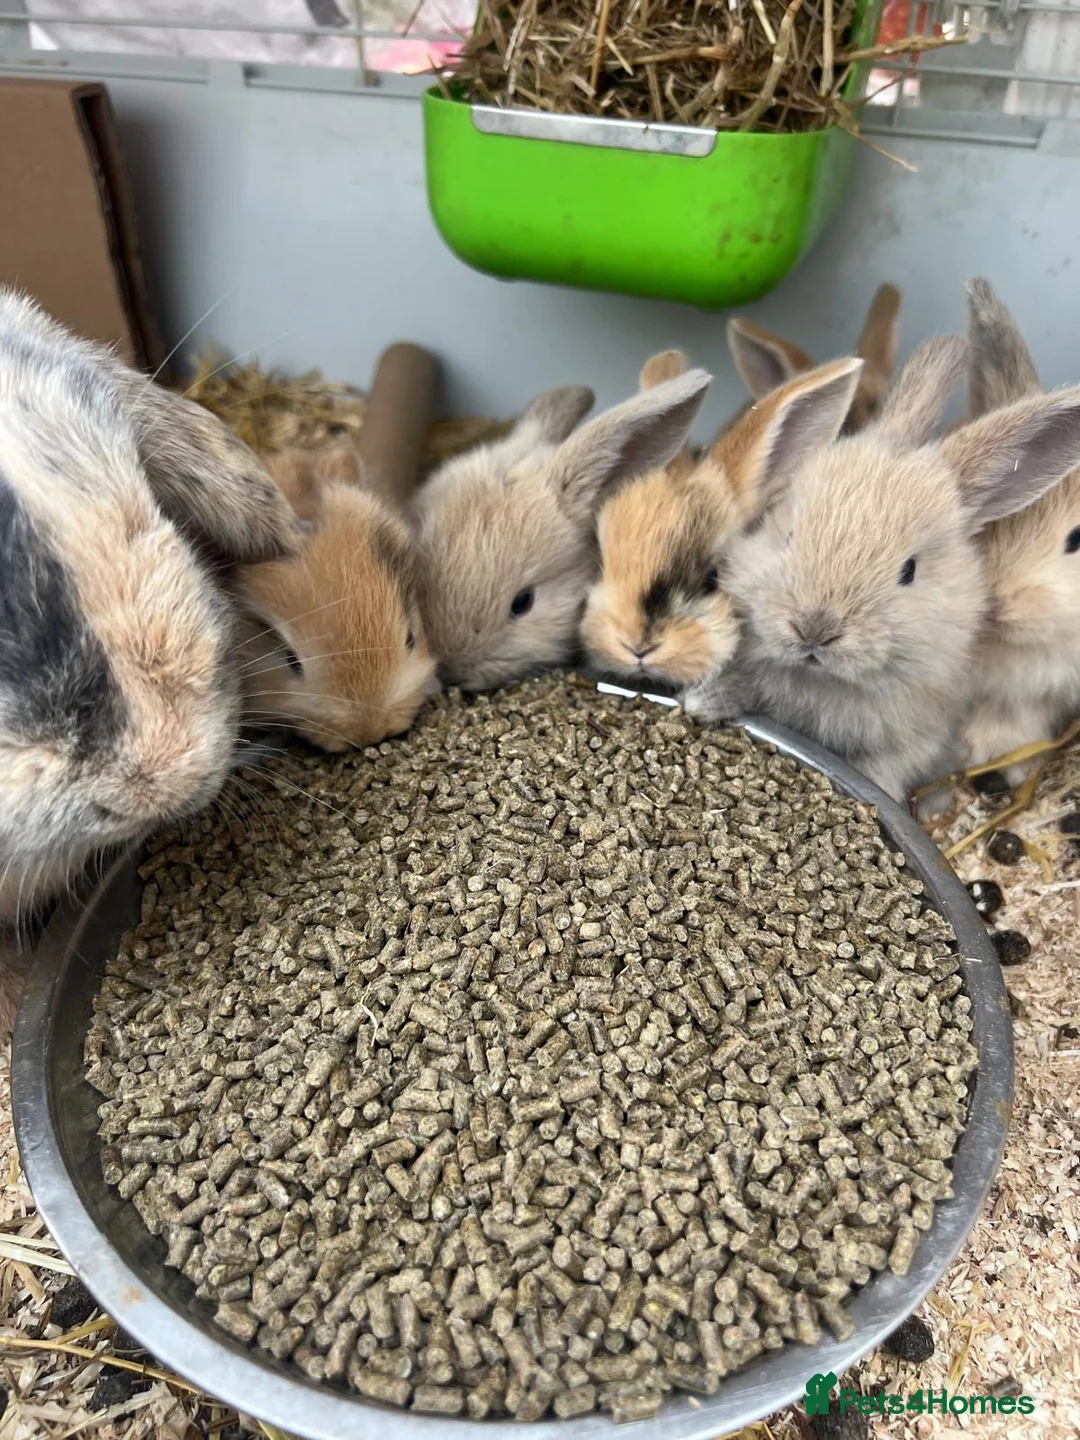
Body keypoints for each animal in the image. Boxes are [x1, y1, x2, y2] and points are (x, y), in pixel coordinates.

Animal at [690, 334, 1080, 802]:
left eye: (908, 571)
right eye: (787, 536)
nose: (814, 629)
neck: (821, 680)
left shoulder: (915, 741)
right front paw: (700, 702)